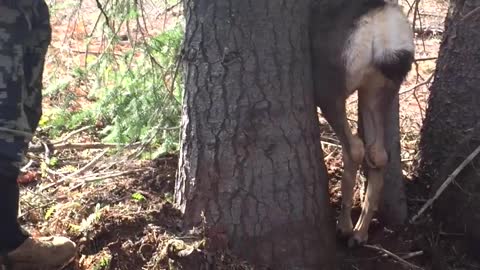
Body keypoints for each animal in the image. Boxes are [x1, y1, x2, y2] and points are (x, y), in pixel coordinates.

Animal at [310, 0, 414, 247]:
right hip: (379, 88)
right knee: (378, 153)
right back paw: (360, 232)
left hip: (330, 88)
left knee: (355, 148)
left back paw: (344, 227)